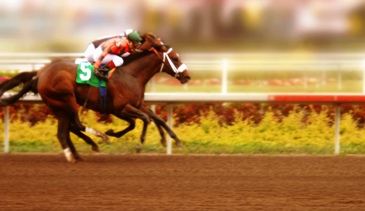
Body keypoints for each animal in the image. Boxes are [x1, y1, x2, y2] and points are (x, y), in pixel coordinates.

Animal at [1, 36, 191, 162]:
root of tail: (40, 73)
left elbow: (155, 118)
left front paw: (174, 140)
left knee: (65, 130)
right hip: (66, 99)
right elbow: (144, 119)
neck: (131, 75)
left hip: (56, 105)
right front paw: (135, 144)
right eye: (175, 58)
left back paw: (77, 153)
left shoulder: (136, 105)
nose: (187, 76)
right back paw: (96, 141)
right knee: (75, 125)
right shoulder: (120, 108)